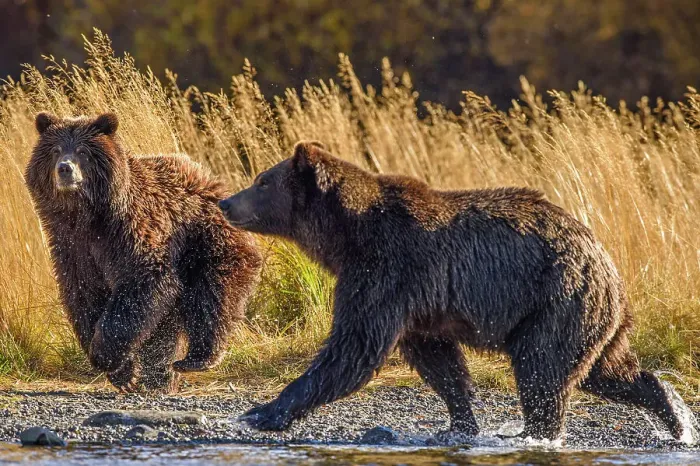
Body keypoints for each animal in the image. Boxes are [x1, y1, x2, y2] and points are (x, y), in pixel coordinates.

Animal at [25, 112, 262, 392]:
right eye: (56, 150)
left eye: (83, 151)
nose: (65, 168)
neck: (86, 216)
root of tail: (211, 180)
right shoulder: (72, 246)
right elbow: (84, 295)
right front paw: (125, 374)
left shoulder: (131, 232)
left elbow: (141, 285)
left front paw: (107, 357)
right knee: (165, 326)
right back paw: (159, 377)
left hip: (207, 242)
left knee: (212, 297)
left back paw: (197, 358)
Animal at [218, 141, 697, 443]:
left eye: (262, 180)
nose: (226, 202)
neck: (347, 237)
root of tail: (605, 259)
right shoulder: (418, 300)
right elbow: (438, 358)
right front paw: (460, 421)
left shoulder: (388, 270)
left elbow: (354, 347)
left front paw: (261, 412)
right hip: (592, 315)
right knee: (610, 370)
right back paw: (673, 417)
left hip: (555, 300)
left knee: (542, 369)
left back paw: (534, 432)